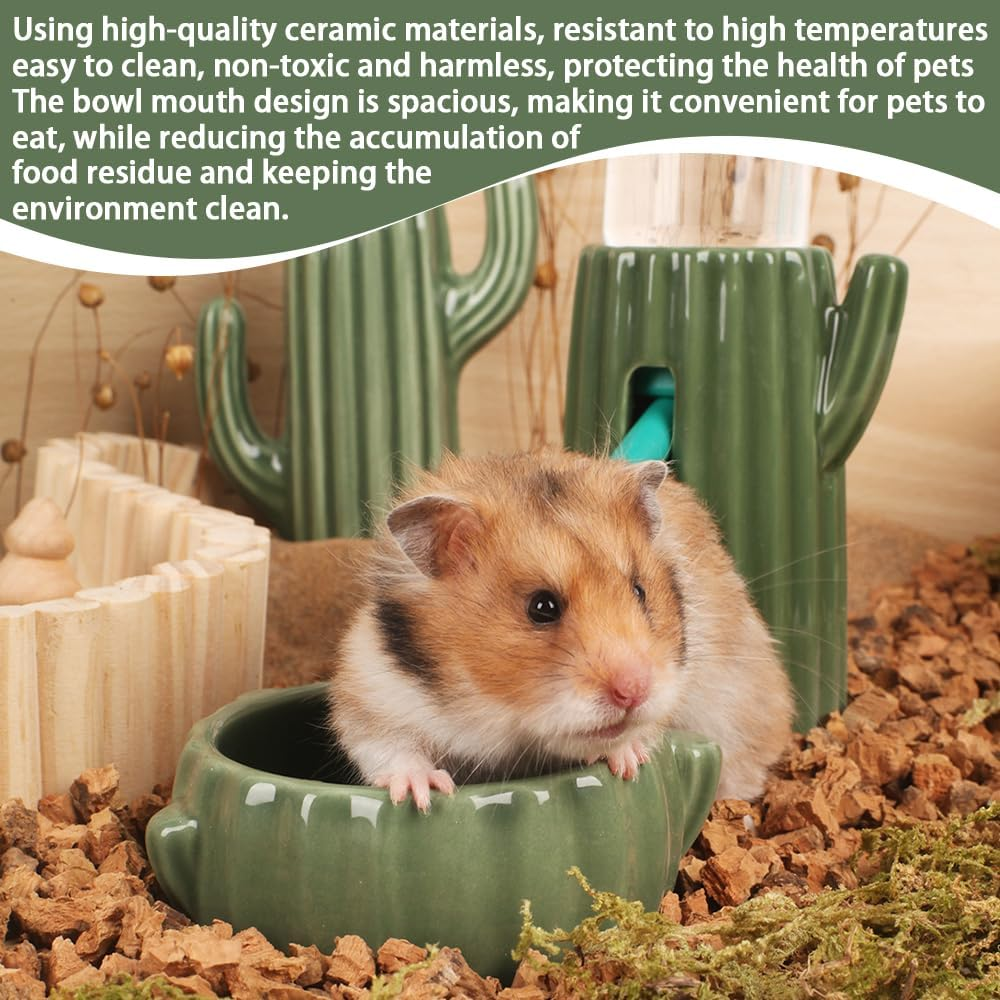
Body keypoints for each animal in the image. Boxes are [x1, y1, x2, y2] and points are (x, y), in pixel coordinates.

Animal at [328, 450, 793, 810]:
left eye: (640, 590)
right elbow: (385, 746)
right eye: (542, 607)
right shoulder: (372, 688)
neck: (497, 711)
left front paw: (629, 761)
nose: (634, 691)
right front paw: (423, 793)